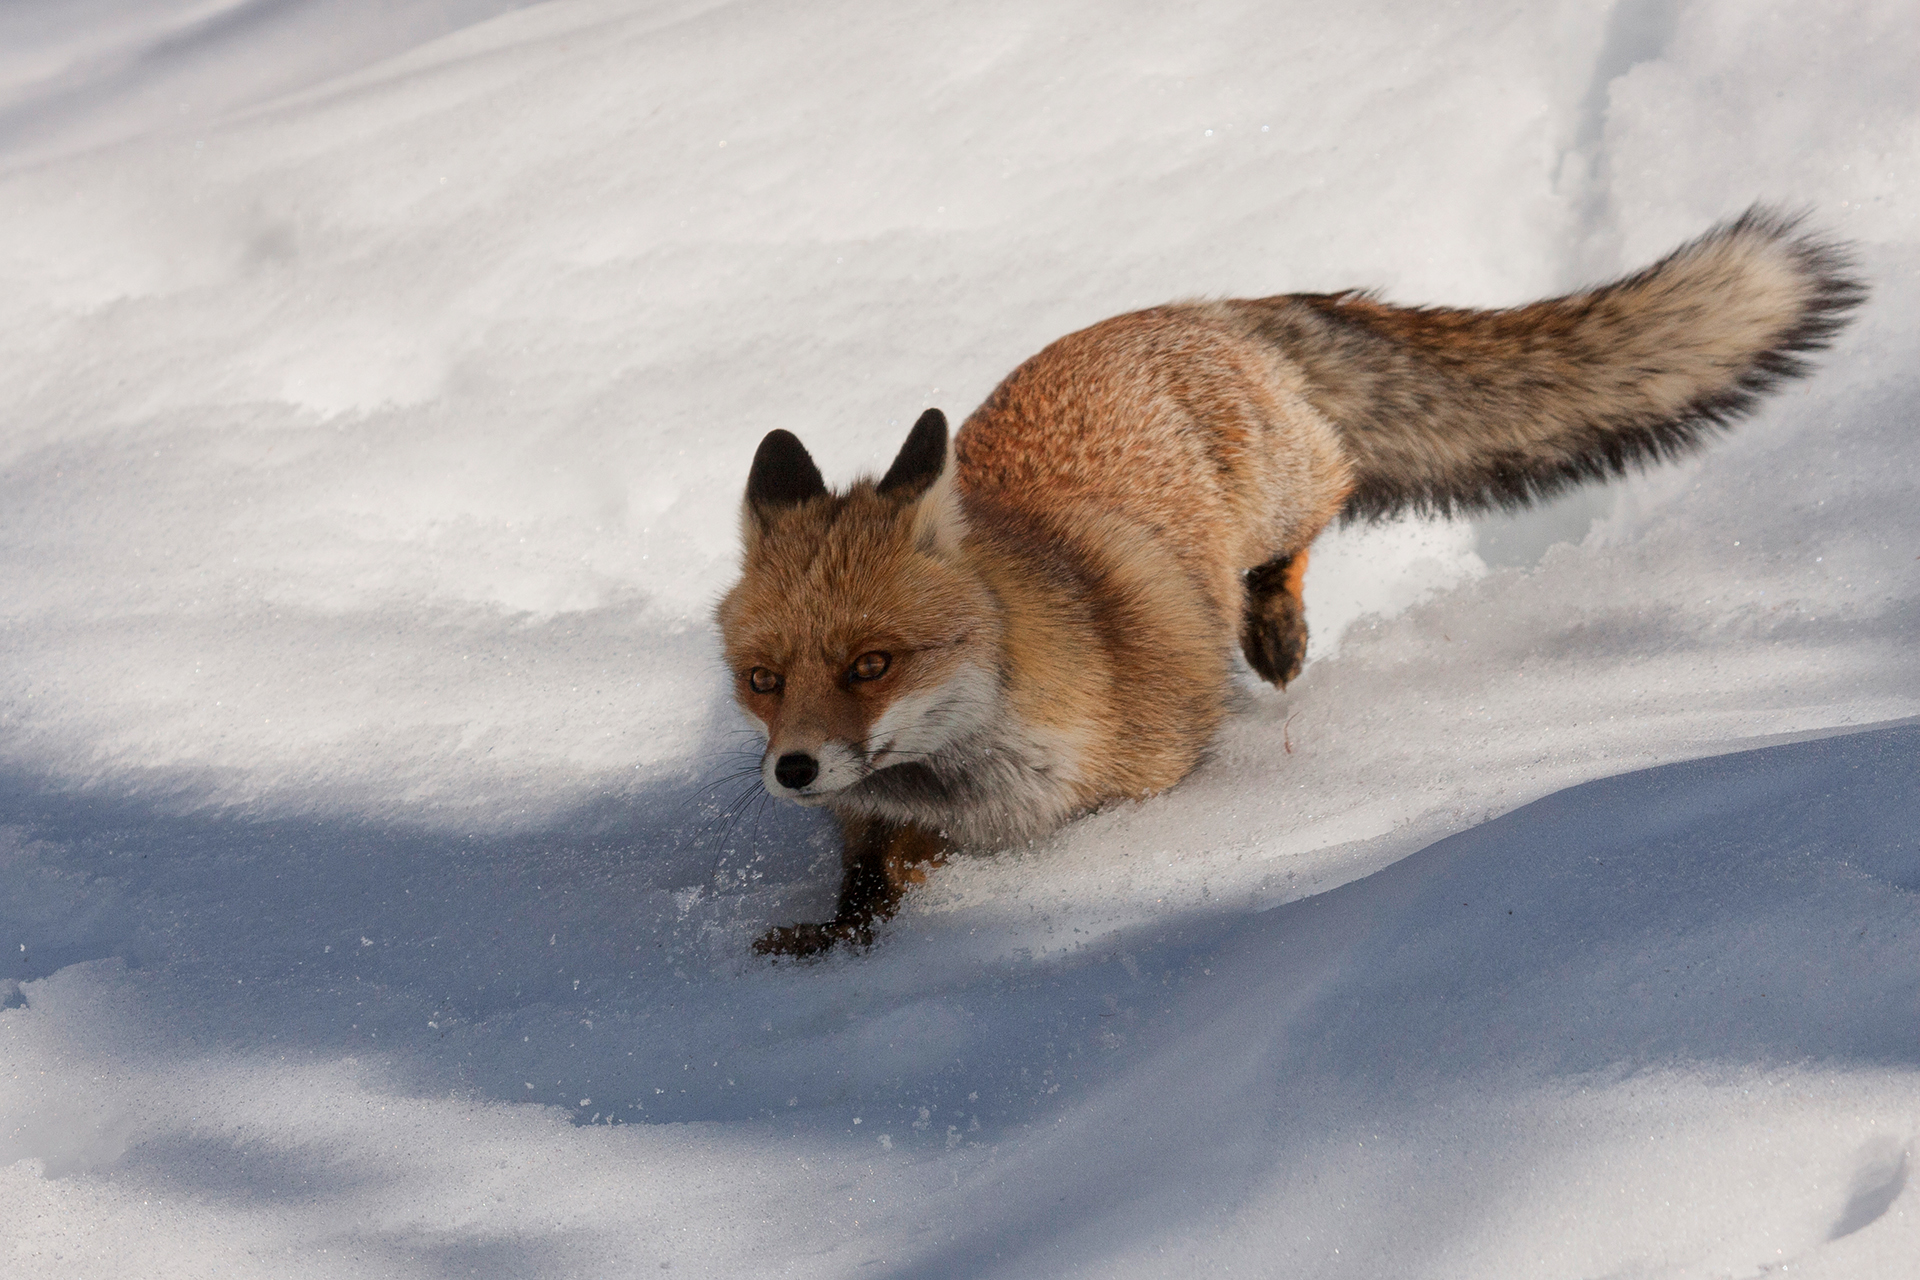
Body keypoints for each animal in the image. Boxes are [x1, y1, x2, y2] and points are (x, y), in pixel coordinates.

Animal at [716, 207, 1864, 957]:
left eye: (873, 663)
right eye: (762, 680)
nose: (794, 769)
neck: (973, 781)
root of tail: (1200, 307)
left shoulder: (1150, 772)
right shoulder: (878, 820)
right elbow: (870, 881)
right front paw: (838, 937)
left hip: (1282, 493)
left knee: (1323, 504)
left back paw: (1276, 627)